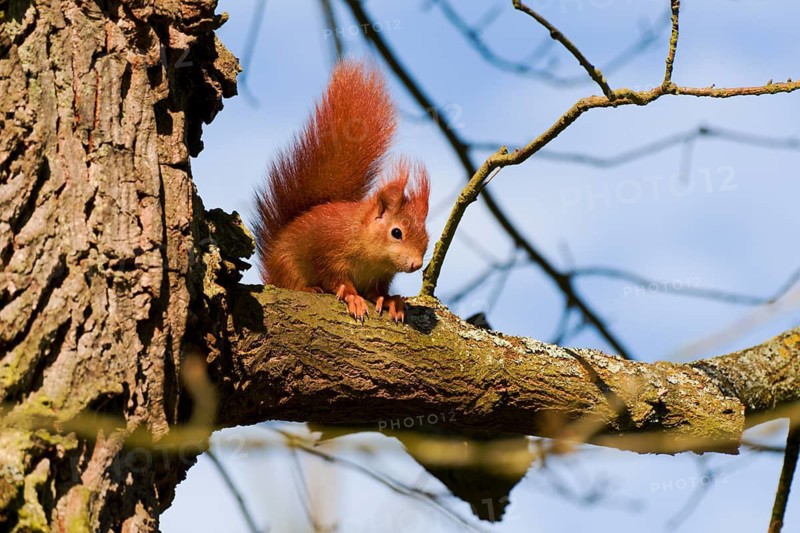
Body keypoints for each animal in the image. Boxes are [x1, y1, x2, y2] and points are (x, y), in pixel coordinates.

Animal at [253, 60, 430, 323]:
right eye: (396, 233)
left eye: (426, 238)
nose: (416, 264)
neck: (372, 255)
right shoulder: (329, 252)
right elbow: (336, 279)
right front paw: (353, 298)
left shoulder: (381, 275)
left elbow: (377, 290)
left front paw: (389, 301)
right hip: (286, 265)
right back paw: (308, 288)